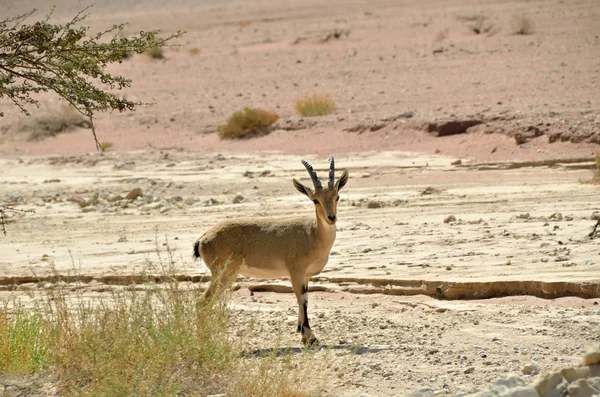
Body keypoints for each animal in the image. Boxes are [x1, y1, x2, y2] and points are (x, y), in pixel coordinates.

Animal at [195, 156, 350, 344]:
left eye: (337, 196)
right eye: (315, 200)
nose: (331, 218)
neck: (314, 234)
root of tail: (203, 238)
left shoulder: (305, 276)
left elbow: (303, 299)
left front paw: (301, 331)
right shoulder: (296, 271)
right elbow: (302, 300)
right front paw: (309, 337)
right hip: (223, 274)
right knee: (202, 303)